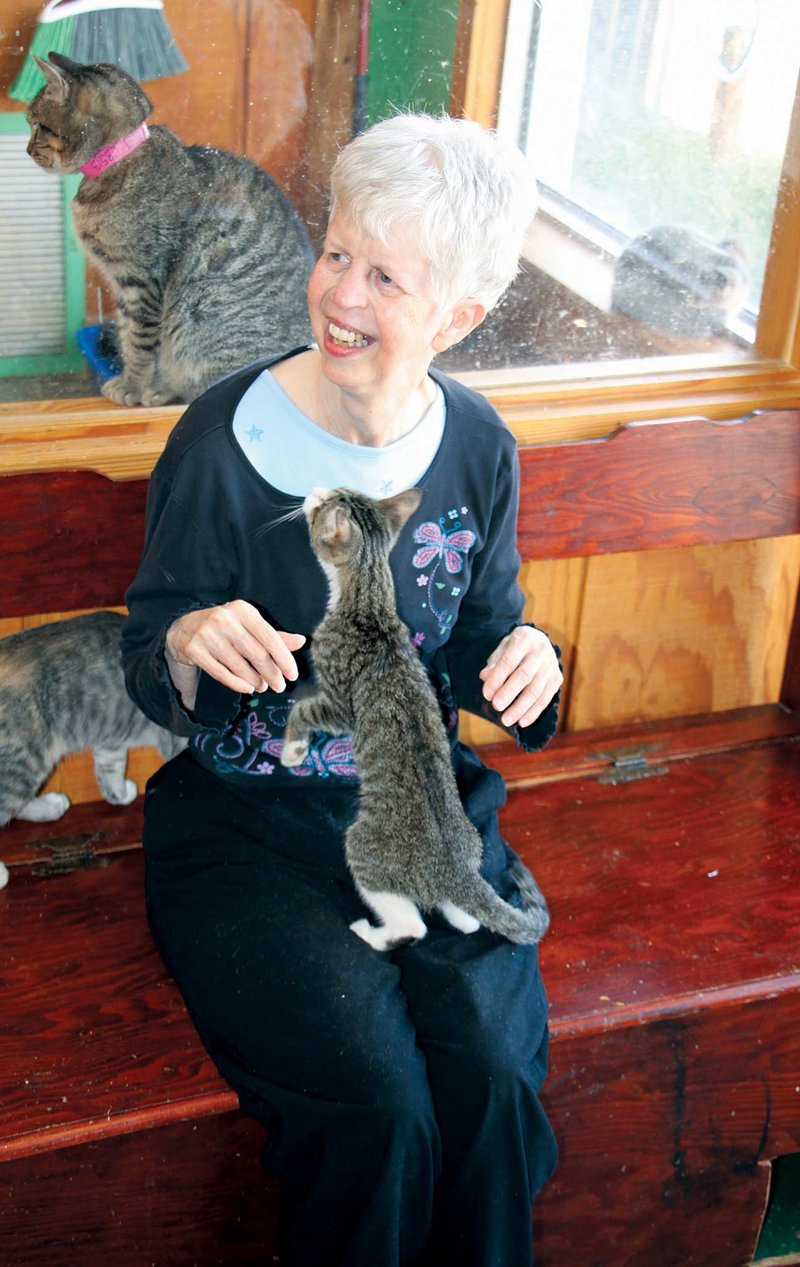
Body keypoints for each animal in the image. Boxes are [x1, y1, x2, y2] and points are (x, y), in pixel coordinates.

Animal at [25, 53, 313, 405]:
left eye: (36, 124)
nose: (27, 149)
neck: (119, 159)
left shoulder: (142, 279)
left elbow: (139, 343)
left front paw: (132, 385)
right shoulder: (122, 284)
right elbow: (127, 335)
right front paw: (132, 380)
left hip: (200, 313)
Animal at [281, 483, 550, 952]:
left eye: (324, 504)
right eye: (337, 491)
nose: (315, 490)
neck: (370, 604)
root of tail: (456, 872)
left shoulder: (340, 703)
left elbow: (306, 708)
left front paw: (292, 750)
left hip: (363, 850)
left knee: (412, 927)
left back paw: (371, 933)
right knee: (467, 920)